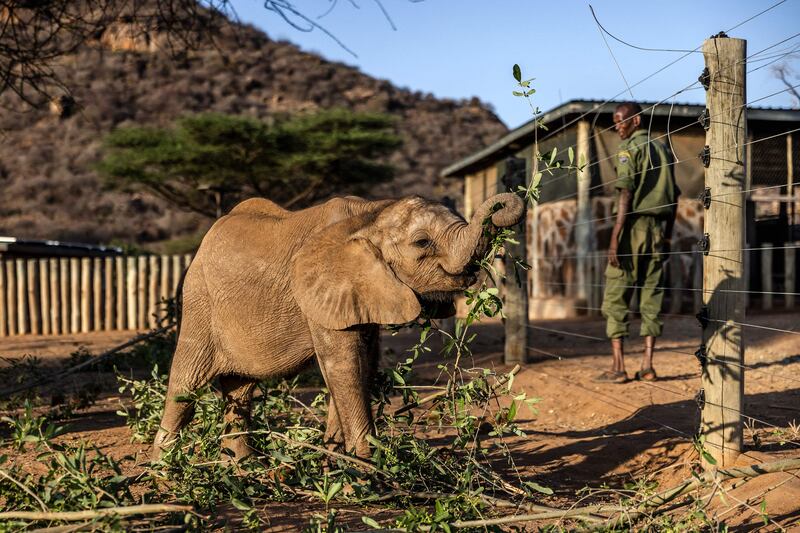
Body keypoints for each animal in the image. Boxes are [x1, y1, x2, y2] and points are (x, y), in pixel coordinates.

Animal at [154, 191, 528, 458]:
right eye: (422, 243)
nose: (502, 203)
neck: (371, 213)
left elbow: (362, 367)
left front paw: (339, 466)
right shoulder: (321, 291)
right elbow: (344, 367)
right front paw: (369, 470)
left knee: (240, 389)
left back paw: (242, 468)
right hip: (199, 299)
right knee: (186, 384)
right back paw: (165, 471)